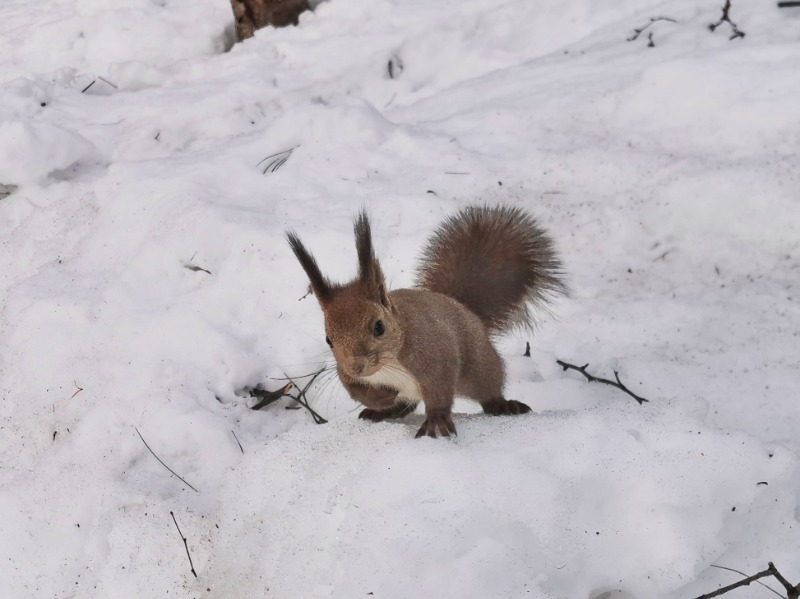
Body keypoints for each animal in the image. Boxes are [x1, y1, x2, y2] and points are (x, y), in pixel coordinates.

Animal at [284, 204, 564, 438]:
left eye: (379, 327)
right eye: (328, 339)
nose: (357, 366)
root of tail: (462, 307)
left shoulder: (434, 355)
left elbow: (439, 390)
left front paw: (436, 420)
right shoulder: (344, 374)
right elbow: (356, 390)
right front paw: (381, 399)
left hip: (478, 368)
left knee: (487, 389)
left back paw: (502, 404)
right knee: (407, 405)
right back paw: (385, 410)